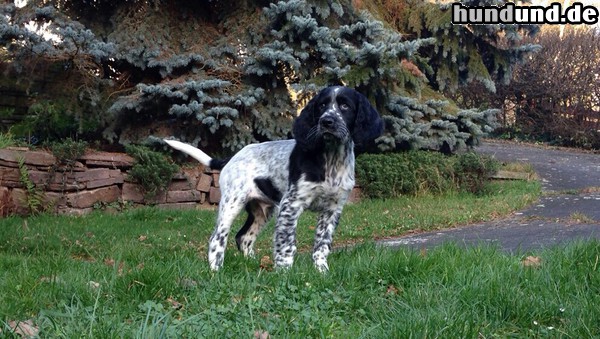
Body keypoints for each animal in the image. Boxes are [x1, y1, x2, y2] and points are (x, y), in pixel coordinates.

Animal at [164, 86, 382, 272]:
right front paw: (284, 272)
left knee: (243, 237)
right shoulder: (291, 205)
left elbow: (322, 245)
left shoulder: (333, 210)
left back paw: (254, 264)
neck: (331, 159)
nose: (326, 122)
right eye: (321, 106)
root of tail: (231, 158)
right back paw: (216, 270)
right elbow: (287, 243)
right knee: (217, 238)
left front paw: (321, 271)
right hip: (232, 203)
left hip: (262, 210)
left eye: (345, 106)